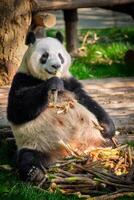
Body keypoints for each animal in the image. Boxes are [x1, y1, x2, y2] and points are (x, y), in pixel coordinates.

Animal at [6, 32, 114, 184]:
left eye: (60, 55)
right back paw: (35, 173)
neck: (42, 78)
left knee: (109, 144)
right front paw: (53, 84)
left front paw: (108, 127)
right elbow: (17, 109)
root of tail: (70, 154)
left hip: (98, 141)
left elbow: (88, 101)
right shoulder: (22, 79)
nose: (56, 65)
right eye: (44, 55)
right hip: (37, 144)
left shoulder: (70, 82)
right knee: (28, 157)